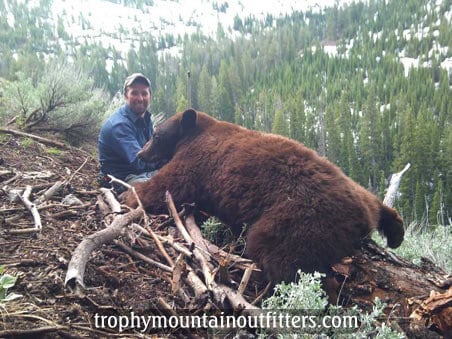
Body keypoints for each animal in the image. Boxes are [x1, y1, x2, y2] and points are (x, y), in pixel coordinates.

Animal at [122, 109, 404, 284]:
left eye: (155, 135)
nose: (140, 153)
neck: (195, 133)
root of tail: (361, 218)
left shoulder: (195, 163)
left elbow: (169, 185)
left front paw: (129, 196)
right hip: (356, 190)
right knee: (379, 204)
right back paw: (396, 234)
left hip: (301, 219)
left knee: (280, 257)